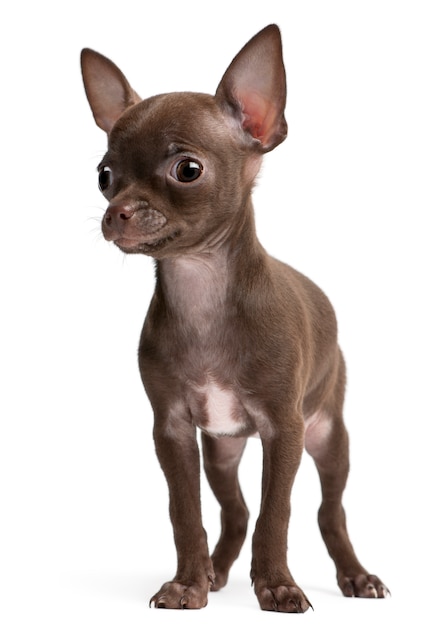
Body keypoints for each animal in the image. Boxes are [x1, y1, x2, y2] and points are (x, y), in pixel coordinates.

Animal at [80, 24, 390, 608]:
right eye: (104, 176)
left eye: (187, 170)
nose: (115, 213)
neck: (200, 288)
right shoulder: (173, 430)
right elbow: (186, 513)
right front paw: (187, 583)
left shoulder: (285, 430)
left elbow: (278, 514)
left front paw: (277, 586)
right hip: (222, 449)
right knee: (236, 510)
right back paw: (214, 571)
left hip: (328, 436)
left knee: (328, 511)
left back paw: (356, 576)